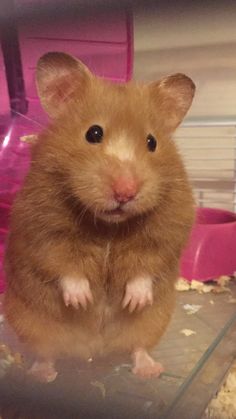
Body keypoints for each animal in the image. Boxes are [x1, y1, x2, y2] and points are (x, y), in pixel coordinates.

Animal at [3, 51, 195, 380]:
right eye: (93, 133)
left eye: (152, 142)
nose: (126, 193)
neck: (109, 227)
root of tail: (93, 351)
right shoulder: (41, 227)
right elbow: (64, 264)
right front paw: (83, 300)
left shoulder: (167, 231)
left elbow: (145, 266)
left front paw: (133, 300)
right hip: (29, 323)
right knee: (46, 352)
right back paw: (42, 375)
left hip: (154, 321)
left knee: (138, 346)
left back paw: (150, 370)